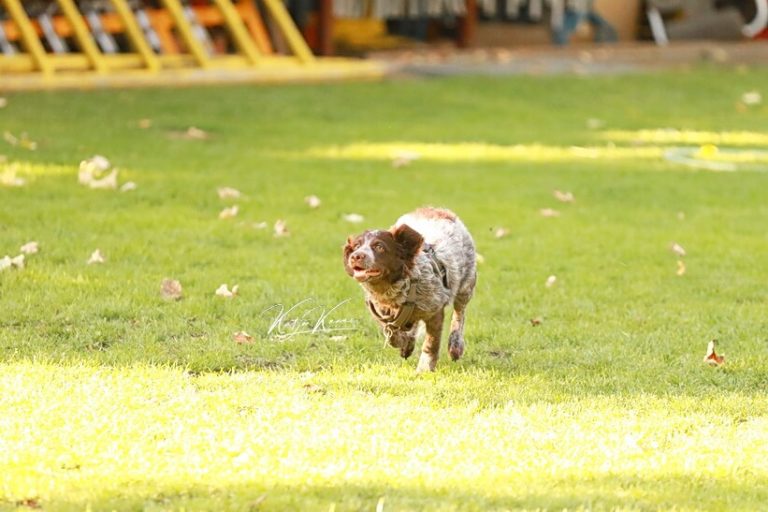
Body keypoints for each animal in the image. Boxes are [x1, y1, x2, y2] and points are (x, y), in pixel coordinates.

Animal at [344, 207, 476, 372]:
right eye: (356, 246)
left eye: (379, 247)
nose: (356, 256)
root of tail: (441, 210)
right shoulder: (381, 314)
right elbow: (392, 334)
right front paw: (404, 341)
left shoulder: (435, 310)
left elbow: (430, 343)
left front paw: (424, 368)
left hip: (466, 284)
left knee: (459, 312)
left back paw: (455, 346)